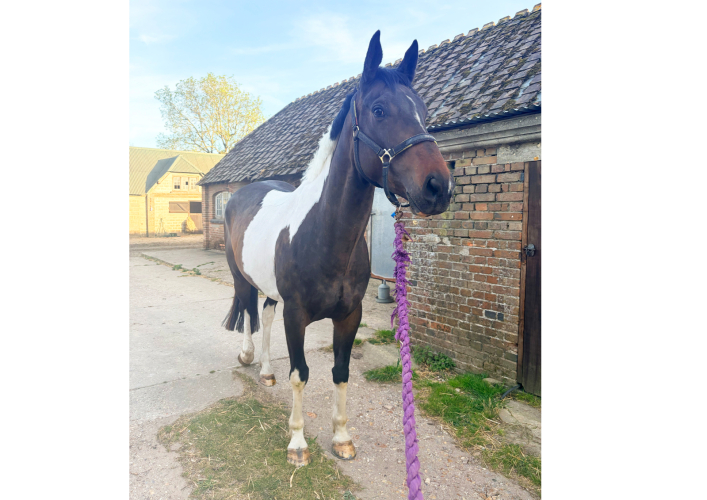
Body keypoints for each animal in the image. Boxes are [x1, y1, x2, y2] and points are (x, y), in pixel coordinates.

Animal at [223, 31, 452, 467]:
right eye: (379, 109)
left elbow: (341, 373)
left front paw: (342, 438)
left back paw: (265, 371)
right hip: (241, 276)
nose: (439, 187)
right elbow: (300, 374)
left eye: (423, 111)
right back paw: (245, 357)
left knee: (265, 316)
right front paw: (298, 444)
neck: (326, 235)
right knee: (247, 310)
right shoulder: (297, 316)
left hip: (272, 291)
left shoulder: (349, 316)